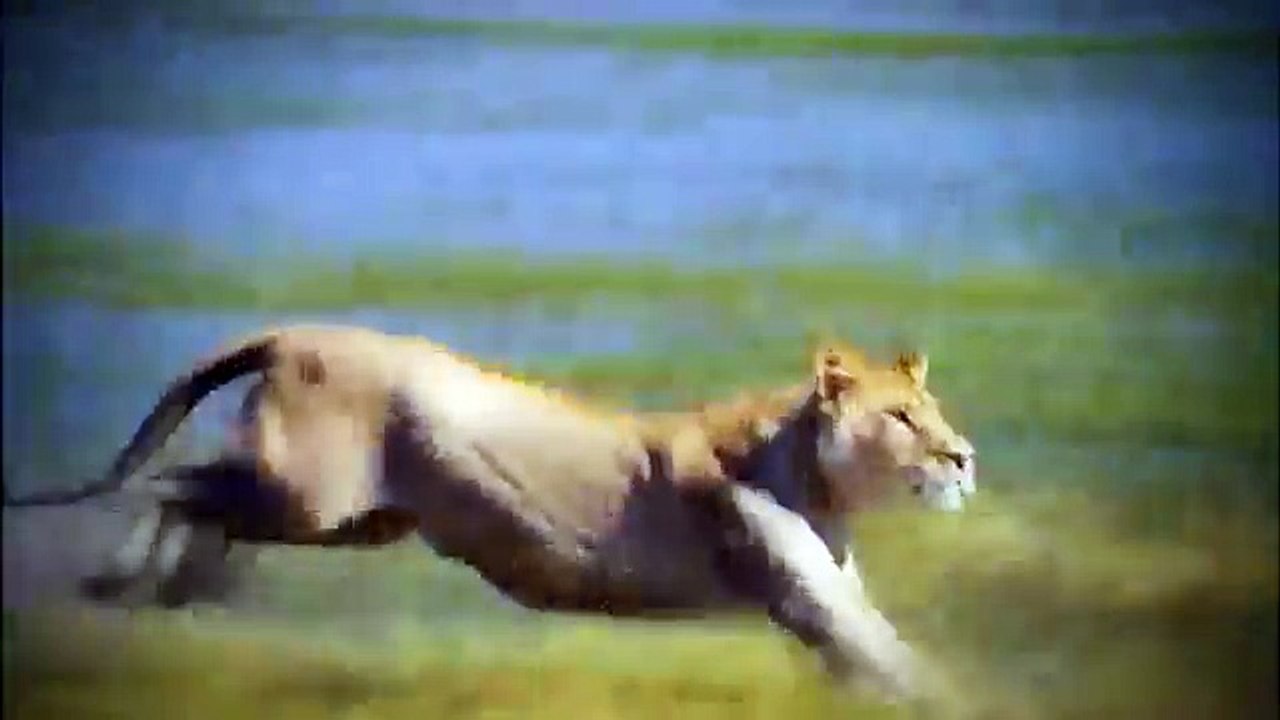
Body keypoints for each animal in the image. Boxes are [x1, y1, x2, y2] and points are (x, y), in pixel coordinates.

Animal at [4, 325, 976, 702]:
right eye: (902, 417)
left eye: (933, 410)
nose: (963, 455)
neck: (823, 479)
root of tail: (294, 334)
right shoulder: (812, 599)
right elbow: (902, 664)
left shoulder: (828, 606)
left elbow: (883, 664)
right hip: (308, 494)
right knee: (172, 484)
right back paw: (123, 577)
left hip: (355, 519)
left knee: (201, 502)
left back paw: (178, 588)